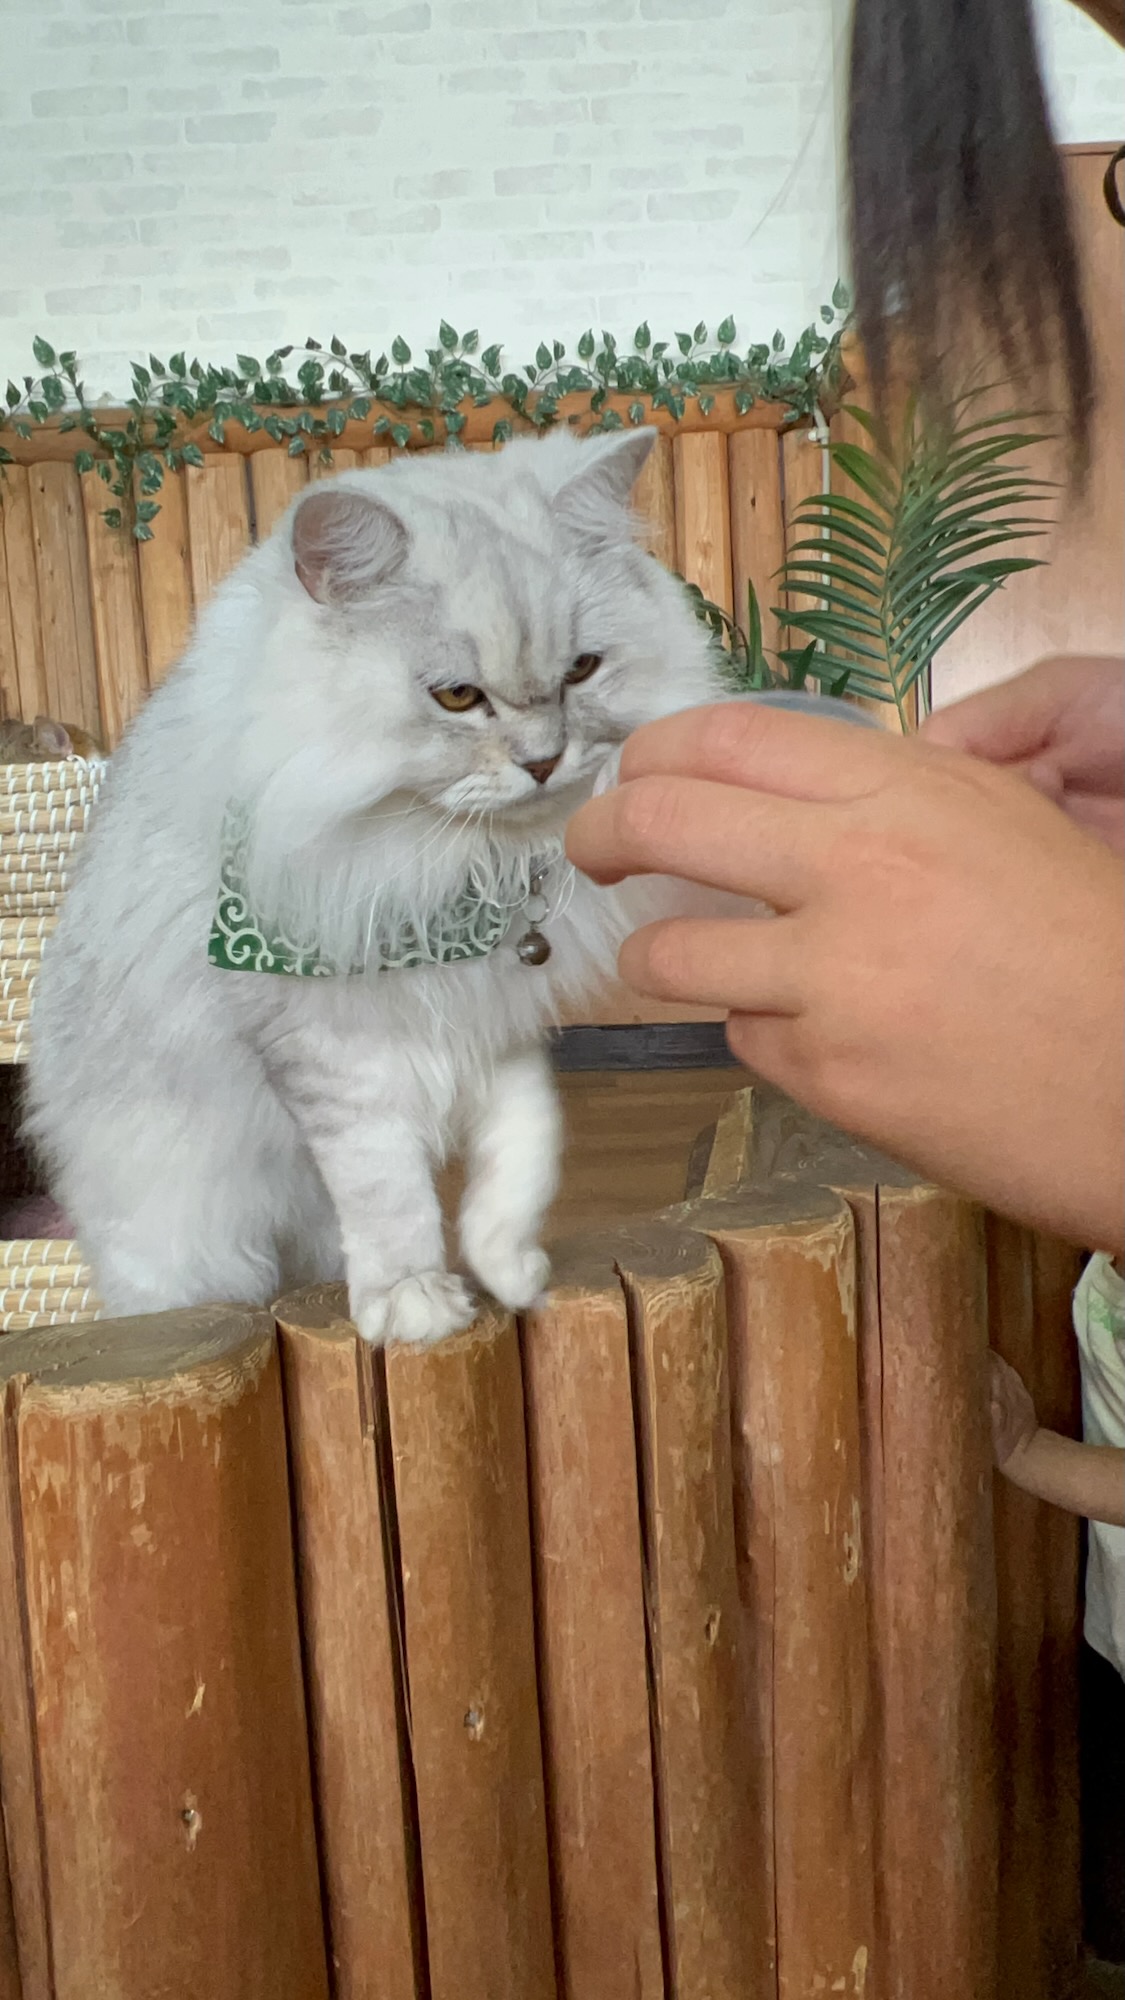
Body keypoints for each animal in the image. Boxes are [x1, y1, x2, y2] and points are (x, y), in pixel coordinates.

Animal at [25, 427, 727, 1344]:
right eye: (457, 697)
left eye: (581, 670)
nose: (543, 762)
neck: (458, 867)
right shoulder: (333, 1050)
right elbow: (385, 1187)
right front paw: (413, 1300)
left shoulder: (494, 1020)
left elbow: (524, 1148)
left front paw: (509, 1268)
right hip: (187, 1233)